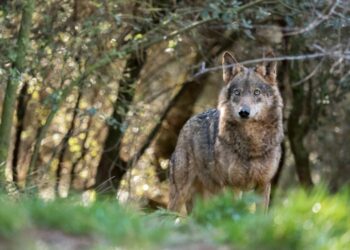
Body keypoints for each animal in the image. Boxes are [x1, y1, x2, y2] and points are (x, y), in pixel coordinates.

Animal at [167, 51, 284, 215]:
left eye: (256, 92)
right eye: (237, 93)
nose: (244, 112)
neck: (251, 144)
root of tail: (189, 121)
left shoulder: (263, 184)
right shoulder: (232, 186)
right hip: (180, 194)